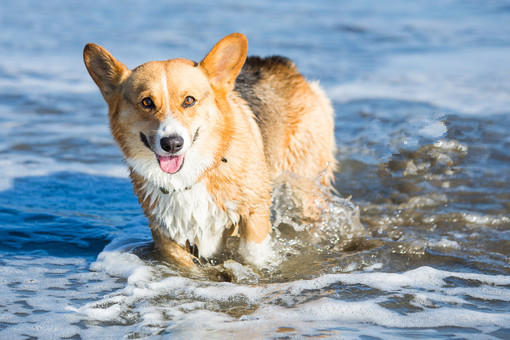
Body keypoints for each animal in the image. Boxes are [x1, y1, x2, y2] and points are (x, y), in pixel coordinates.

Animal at [83, 33, 336, 268]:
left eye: (189, 100)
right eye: (146, 102)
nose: (172, 144)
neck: (193, 175)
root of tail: (283, 64)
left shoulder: (255, 212)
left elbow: (253, 253)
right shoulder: (165, 232)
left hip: (304, 190)